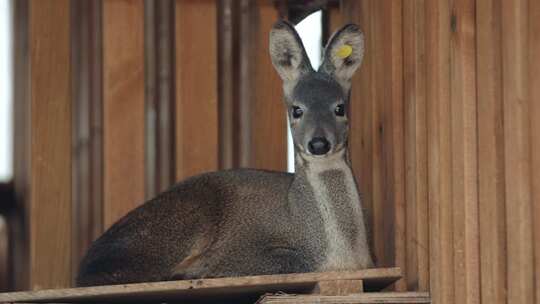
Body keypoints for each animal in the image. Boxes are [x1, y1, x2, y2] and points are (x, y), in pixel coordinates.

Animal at [76, 21, 374, 288]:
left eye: (340, 108)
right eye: (296, 109)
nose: (319, 144)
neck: (339, 256)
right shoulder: (242, 255)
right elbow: (290, 261)